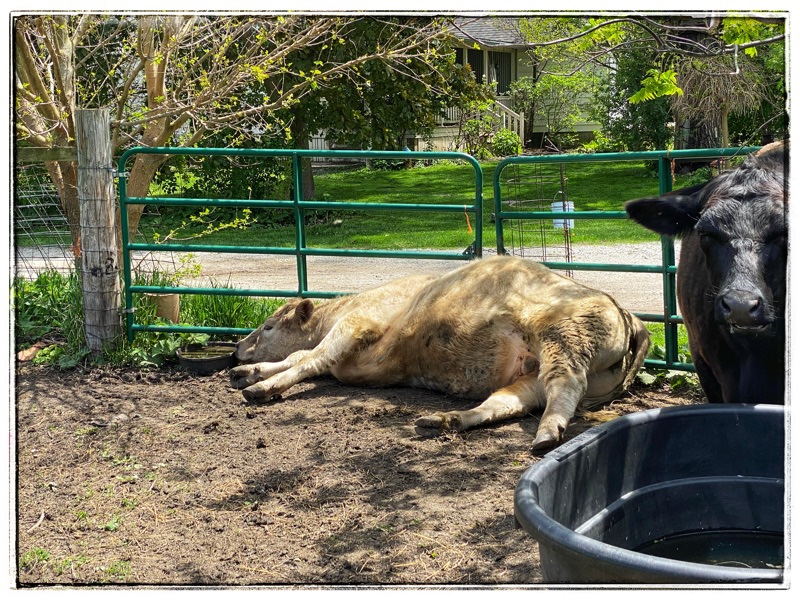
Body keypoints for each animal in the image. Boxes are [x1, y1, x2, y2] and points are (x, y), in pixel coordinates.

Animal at [230, 255, 650, 452]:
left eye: (268, 326)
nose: (237, 347)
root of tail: (630, 316)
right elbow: (304, 358)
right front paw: (251, 371)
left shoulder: (357, 324)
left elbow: (308, 358)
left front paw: (263, 384)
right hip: (531, 371)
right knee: (509, 401)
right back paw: (447, 420)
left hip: (564, 337)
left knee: (565, 383)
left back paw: (548, 433)